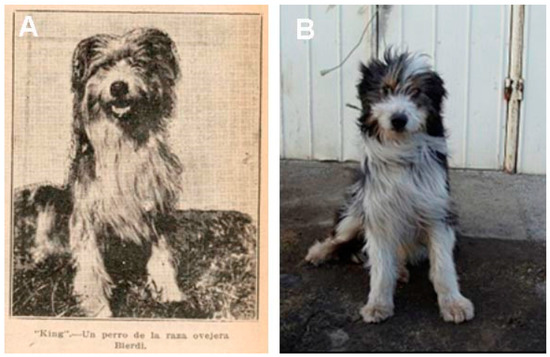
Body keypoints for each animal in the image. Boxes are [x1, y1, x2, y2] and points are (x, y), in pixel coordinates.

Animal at [30, 28, 183, 318]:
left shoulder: (156, 206)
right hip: (52, 197)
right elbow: (91, 267)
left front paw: (170, 293)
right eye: (104, 66)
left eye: (137, 62)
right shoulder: (86, 214)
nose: (118, 86)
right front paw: (98, 309)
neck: (124, 140)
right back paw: (42, 257)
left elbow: (162, 253)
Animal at [304, 49, 476, 322]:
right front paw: (378, 304)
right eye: (385, 90)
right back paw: (320, 252)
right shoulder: (378, 212)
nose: (398, 119)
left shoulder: (437, 210)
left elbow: (443, 266)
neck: (401, 149)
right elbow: (381, 269)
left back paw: (402, 269)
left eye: (416, 91)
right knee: (339, 238)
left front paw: (453, 303)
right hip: (356, 209)